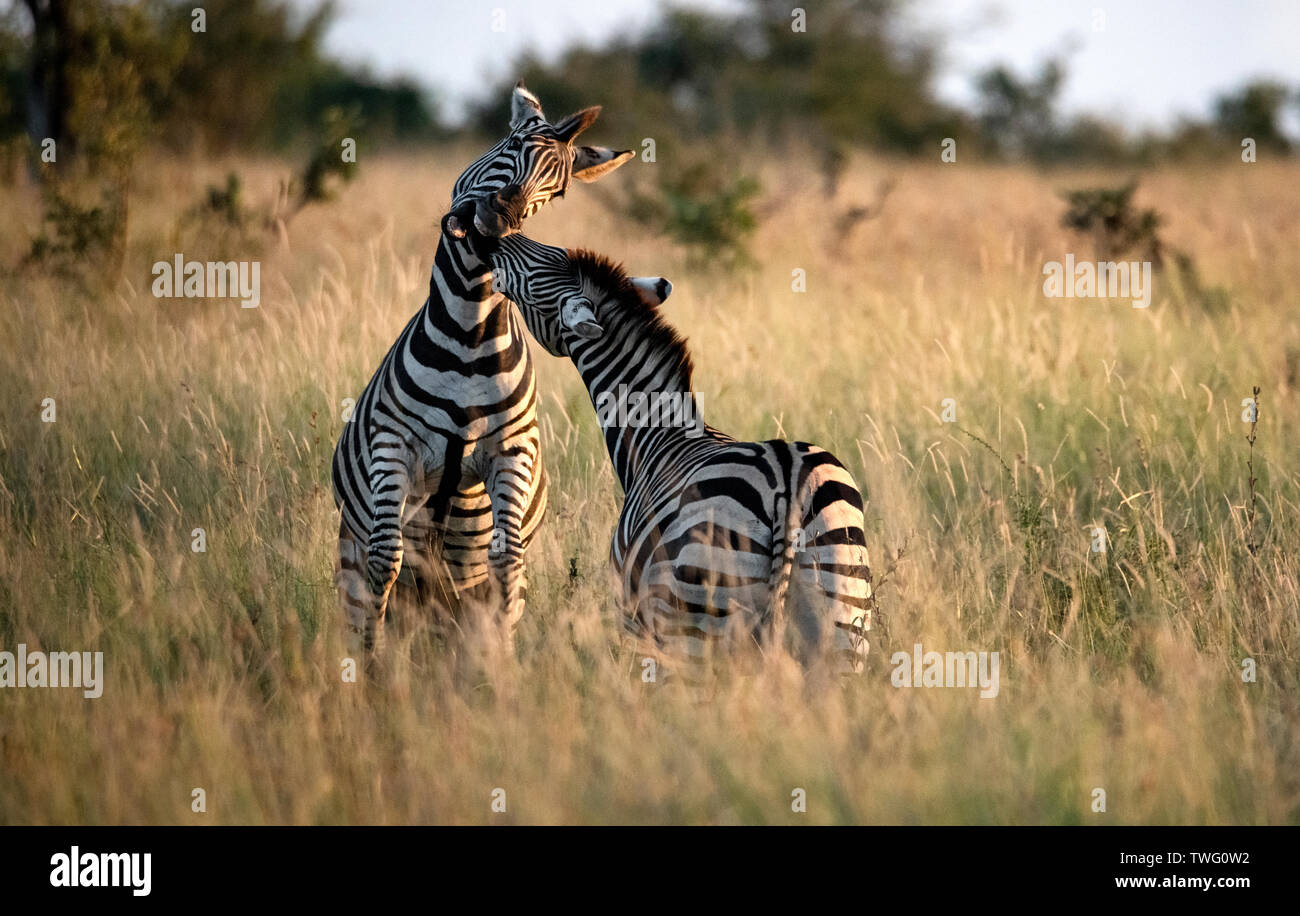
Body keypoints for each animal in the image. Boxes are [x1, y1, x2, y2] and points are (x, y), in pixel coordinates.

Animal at [332, 78, 631, 649]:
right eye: (512, 146)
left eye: (558, 191)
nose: (501, 215)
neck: (470, 328)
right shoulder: (392, 443)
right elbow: (385, 557)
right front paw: (373, 659)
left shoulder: (511, 453)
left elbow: (507, 561)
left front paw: (502, 657)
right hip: (350, 552)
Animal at [488, 233, 873, 680]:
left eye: (536, 273)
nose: (494, 239)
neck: (658, 436)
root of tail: (787, 479)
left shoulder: (637, 619)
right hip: (843, 620)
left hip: (697, 626)